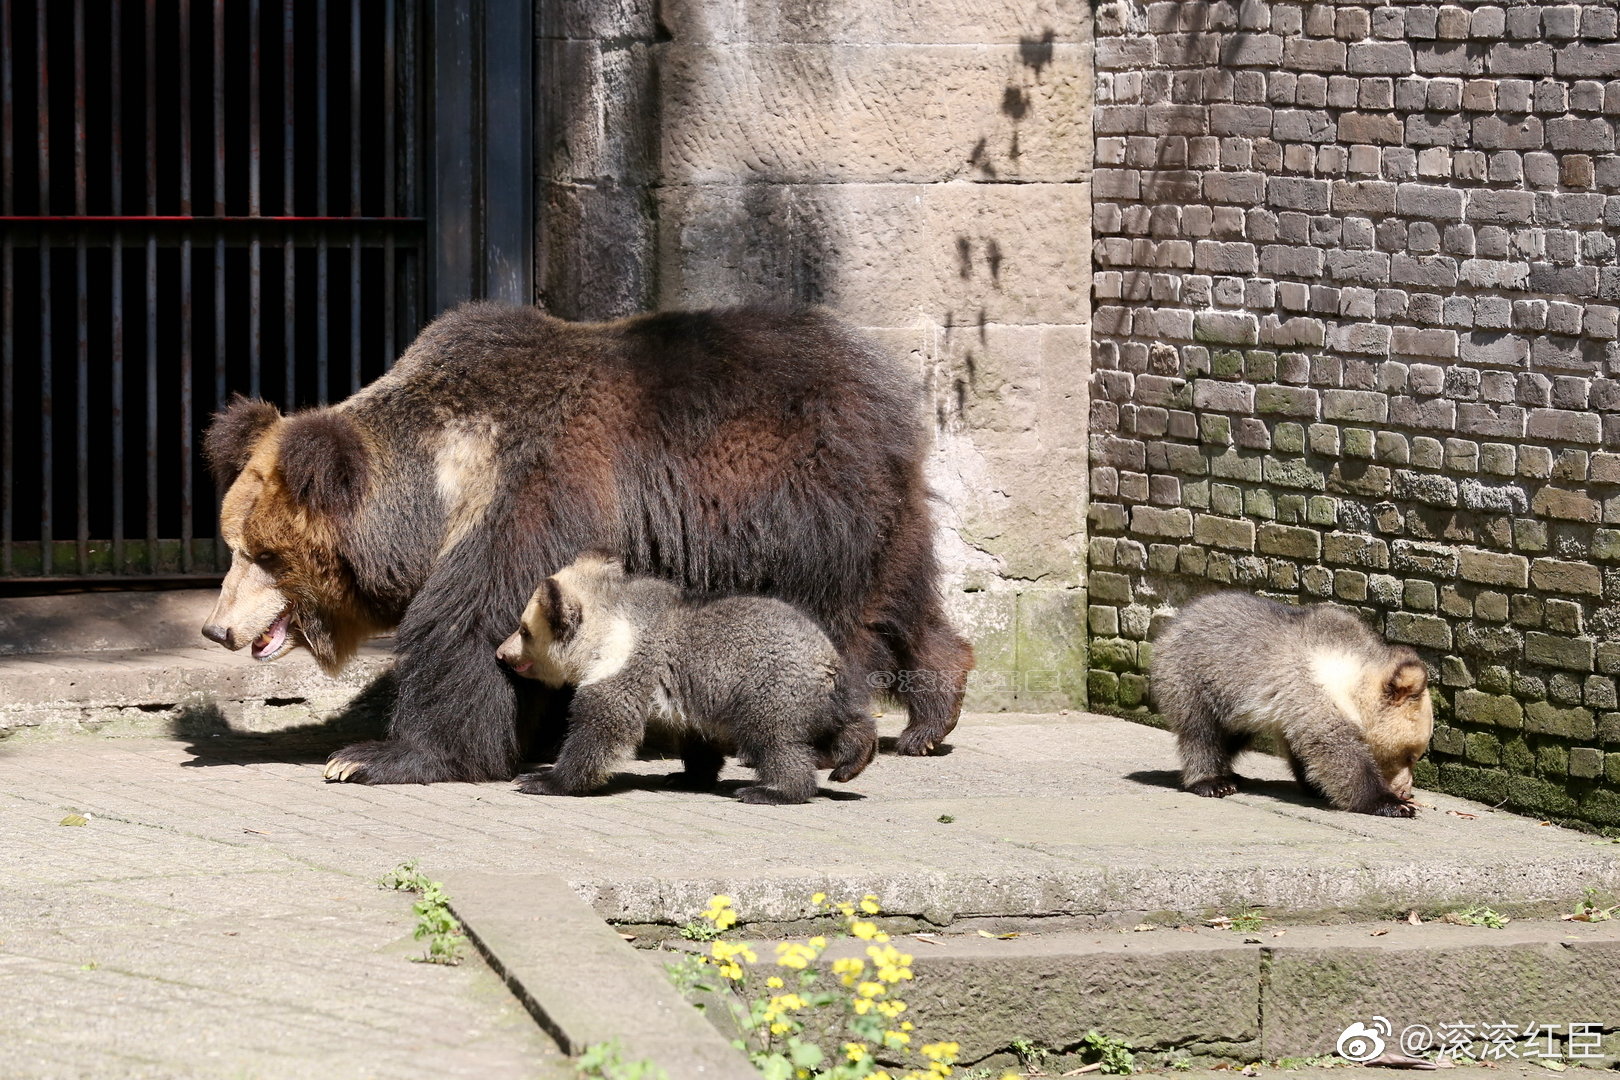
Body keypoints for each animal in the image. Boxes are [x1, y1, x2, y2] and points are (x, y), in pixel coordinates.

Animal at [490, 553, 877, 803]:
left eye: (524, 630)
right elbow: (696, 735)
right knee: (843, 721)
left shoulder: (628, 661)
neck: (607, 626)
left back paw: (771, 790)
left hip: (771, 687)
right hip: (820, 694)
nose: (501, 653)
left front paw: (543, 778)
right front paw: (686, 774)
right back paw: (853, 759)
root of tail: (828, 660)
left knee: (773, 740)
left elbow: (602, 728)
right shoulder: (687, 691)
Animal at [1151, 591, 1433, 818]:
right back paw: (1213, 781)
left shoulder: (1295, 708)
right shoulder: (1310, 689)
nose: (1407, 791)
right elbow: (1338, 752)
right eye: (1410, 755)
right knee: (1201, 733)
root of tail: (1177, 620)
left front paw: (1316, 786)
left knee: (1231, 737)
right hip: (1195, 676)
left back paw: (1230, 774)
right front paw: (1392, 803)